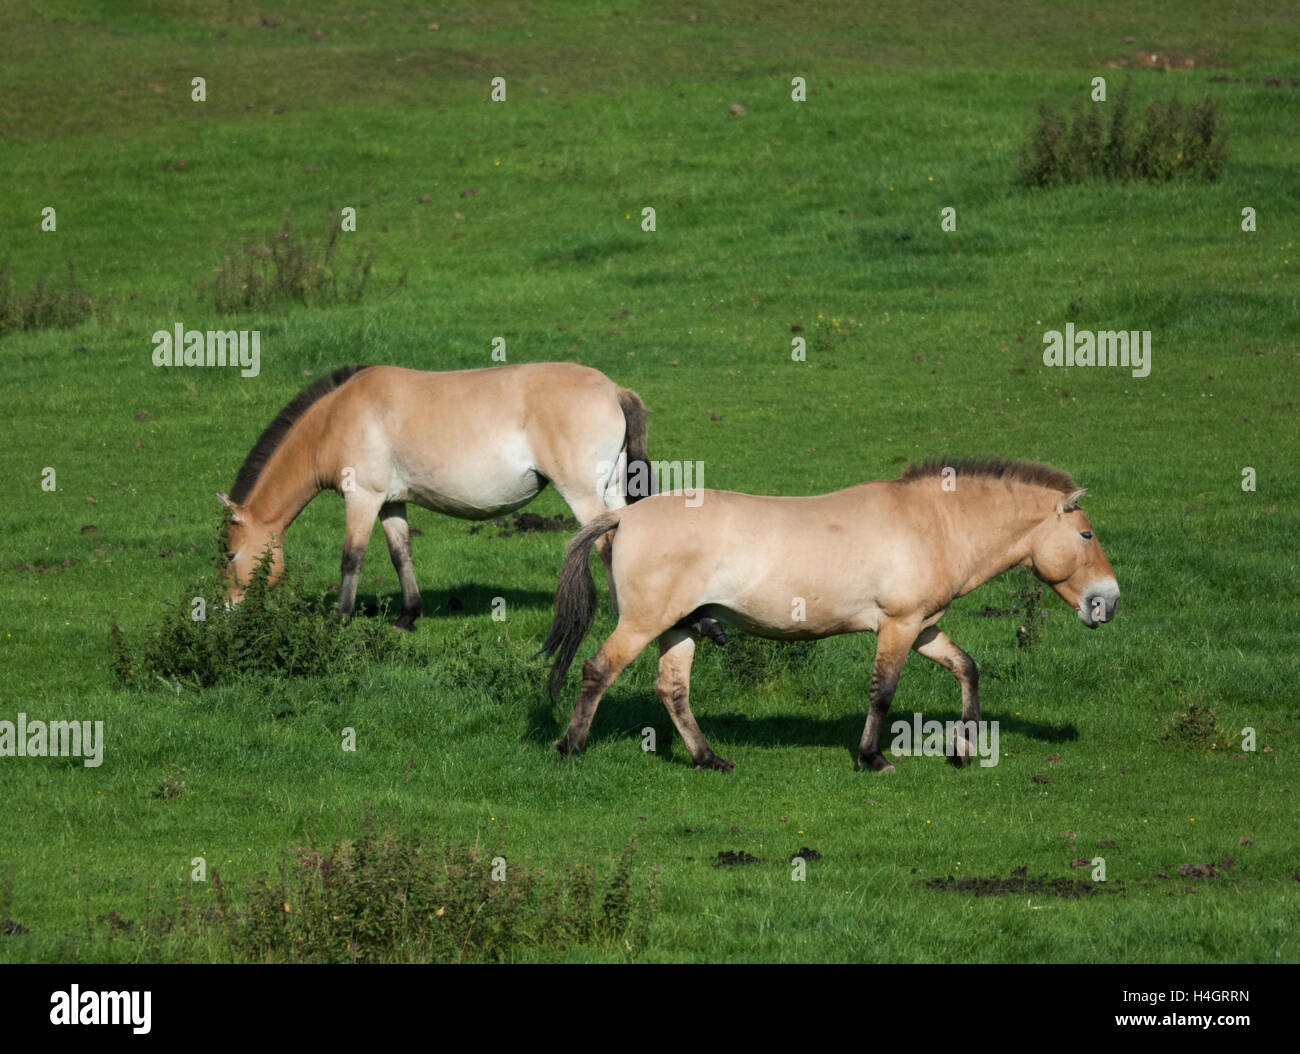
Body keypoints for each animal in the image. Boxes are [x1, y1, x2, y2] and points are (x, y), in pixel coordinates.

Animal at [223, 363, 655, 631]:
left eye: (229, 555)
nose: (226, 609)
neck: (337, 417)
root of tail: (613, 390)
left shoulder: (362, 497)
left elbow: (352, 559)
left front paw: (338, 618)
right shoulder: (391, 502)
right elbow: (401, 555)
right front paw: (407, 617)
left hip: (581, 493)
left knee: (604, 543)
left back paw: (615, 614)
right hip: (610, 491)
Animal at [538, 457, 1118, 769]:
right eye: (1086, 535)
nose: (1108, 601)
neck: (932, 522)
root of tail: (622, 517)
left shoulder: (923, 628)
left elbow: (966, 668)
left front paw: (963, 746)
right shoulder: (898, 626)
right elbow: (882, 692)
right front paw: (873, 757)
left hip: (679, 628)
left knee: (672, 690)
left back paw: (708, 759)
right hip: (642, 625)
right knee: (597, 670)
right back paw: (570, 746)